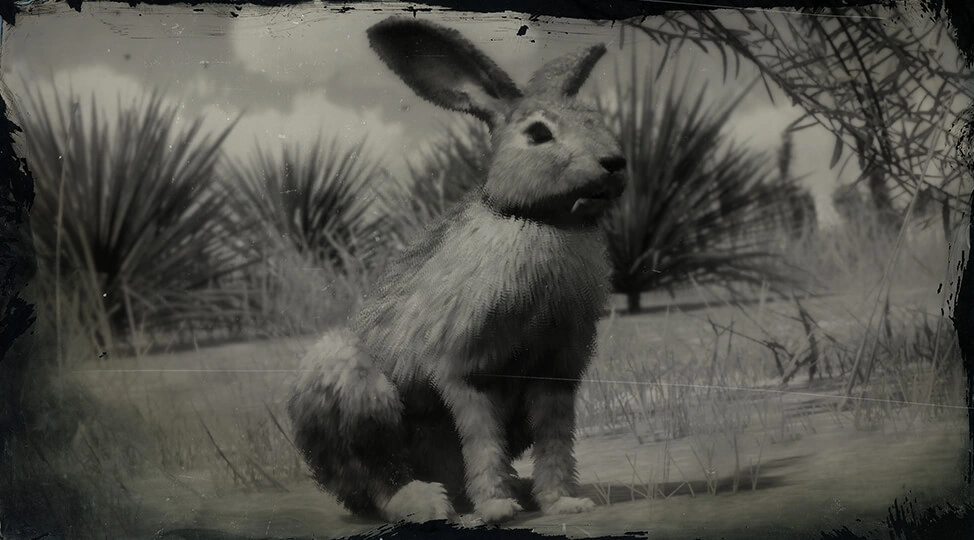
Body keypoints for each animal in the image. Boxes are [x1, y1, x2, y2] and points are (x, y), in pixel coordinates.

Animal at [287, 16, 627, 525]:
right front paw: (497, 509)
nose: (615, 163)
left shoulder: (556, 372)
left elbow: (555, 440)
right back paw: (427, 501)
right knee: (376, 478)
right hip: (354, 390)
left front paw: (564, 501)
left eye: (595, 120)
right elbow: (481, 438)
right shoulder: (463, 367)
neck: (538, 221)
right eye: (539, 134)